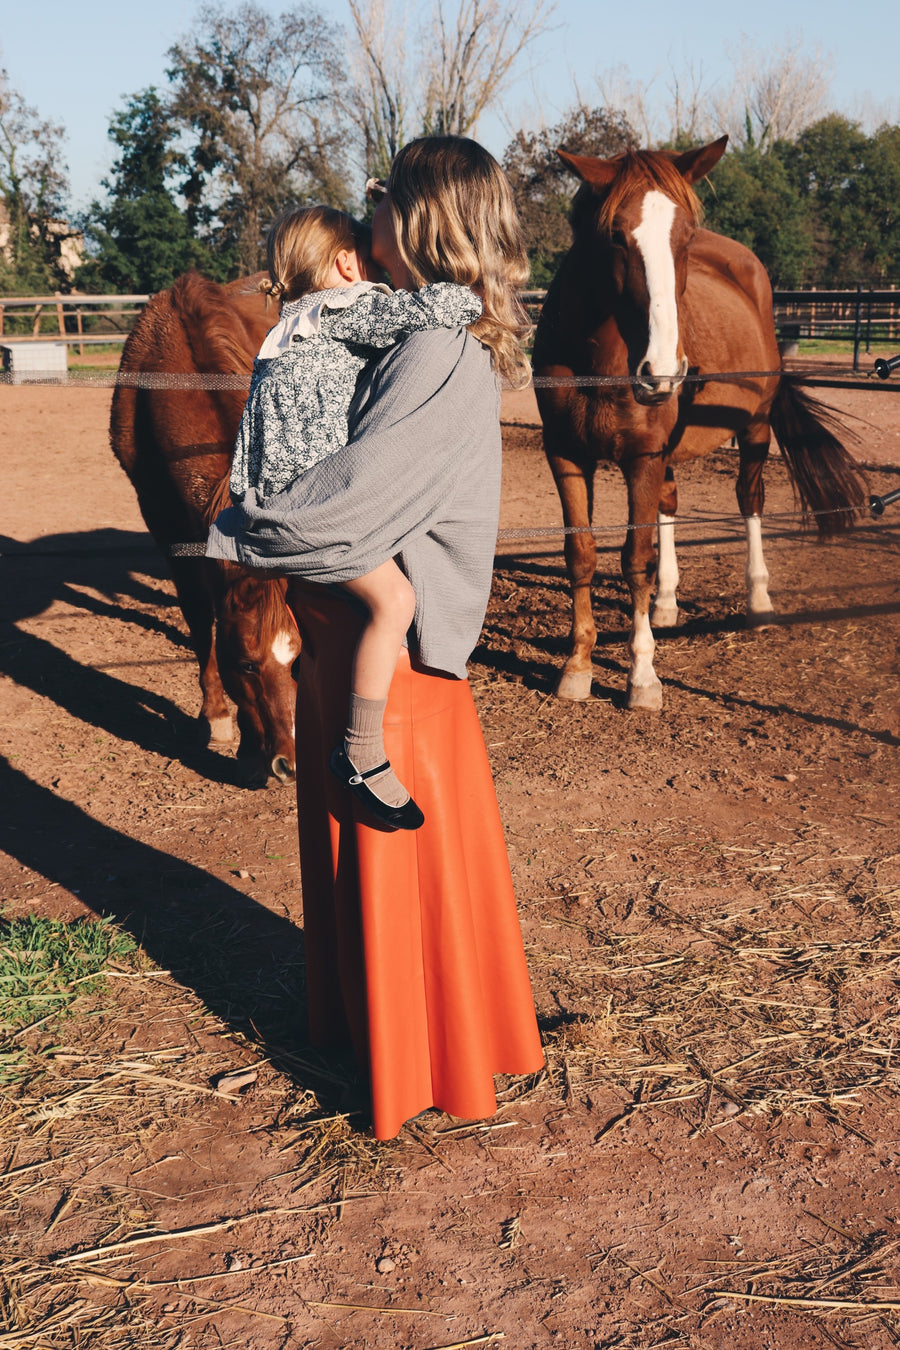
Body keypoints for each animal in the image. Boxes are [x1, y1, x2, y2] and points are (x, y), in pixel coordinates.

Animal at [110, 270, 300, 788]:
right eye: (246, 663)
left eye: (296, 658)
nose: (290, 764)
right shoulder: (165, 526)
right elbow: (199, 617)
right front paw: (218, 719)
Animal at [531, 137, 868, 707]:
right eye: (614, 235)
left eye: (685, 235)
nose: (662, 371)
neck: (598, 359)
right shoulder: (567, 455)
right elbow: (581, 553)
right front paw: (577, 665)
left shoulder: (641, 456)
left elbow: (634, 557)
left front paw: (642, 676)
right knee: (668, 505)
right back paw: (667, 602)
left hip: (754, 431)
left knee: (749, 500)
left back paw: (758, 601)